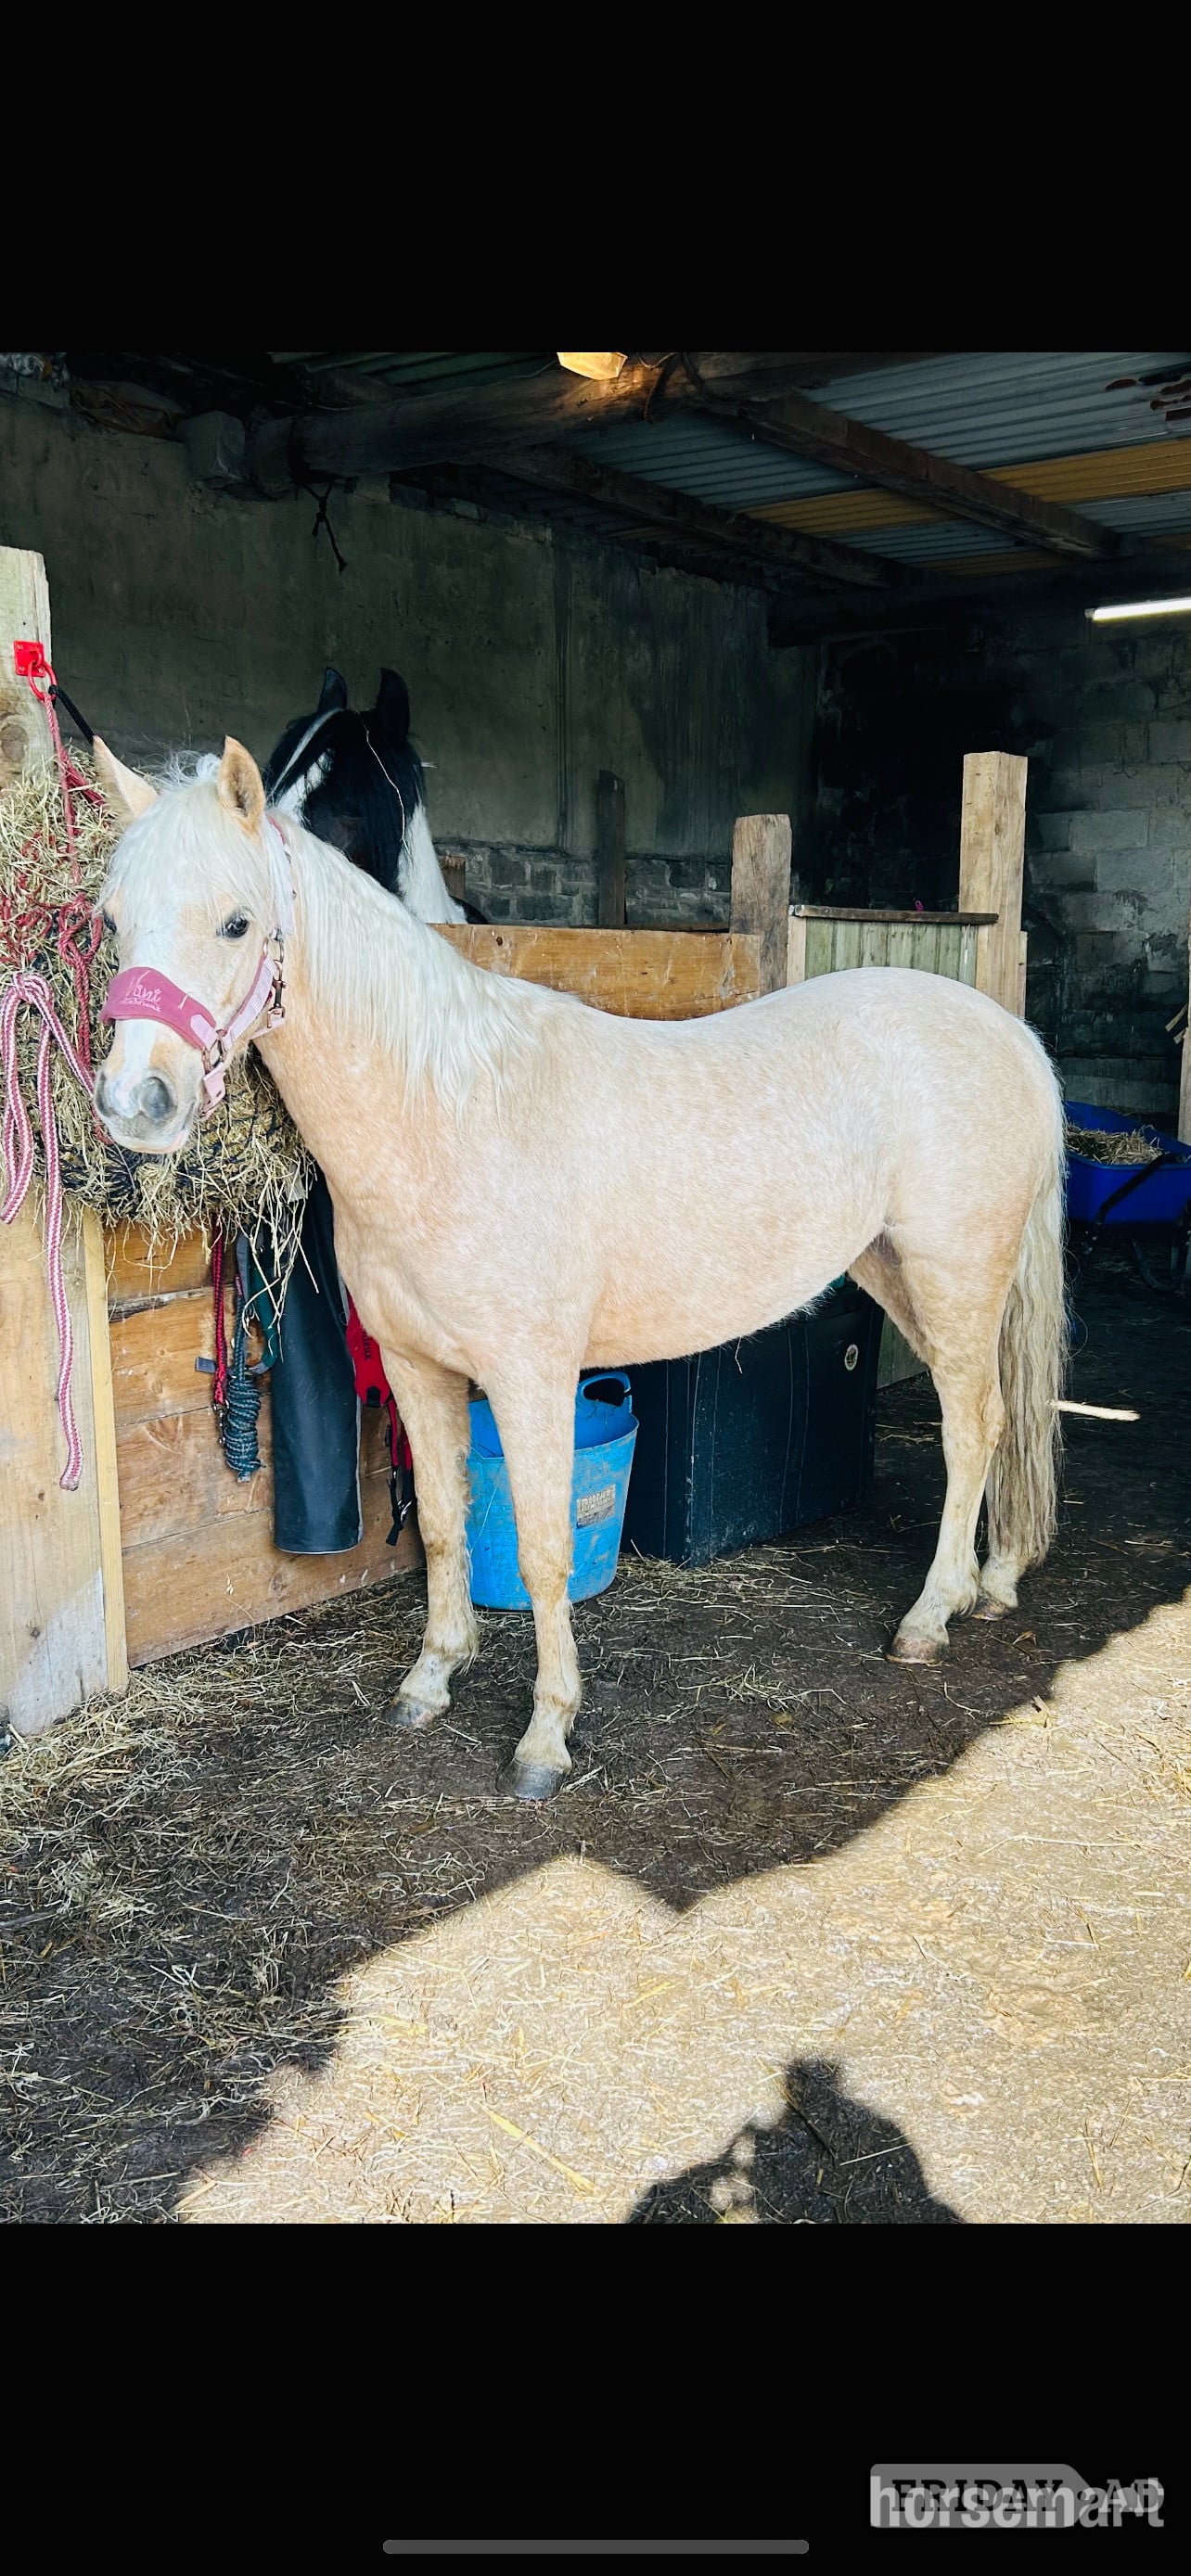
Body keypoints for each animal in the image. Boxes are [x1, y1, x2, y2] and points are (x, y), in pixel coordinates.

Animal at [90, 736, 1068, 1802]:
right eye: (111, 920)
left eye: (236, 922)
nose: (136, 1103)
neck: (449, 1115)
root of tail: (1008, 1032)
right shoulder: (415, 1368)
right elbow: (445, 1525)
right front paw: (431, 1680)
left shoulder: (531, 1378)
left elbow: (543, 1547)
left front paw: (545, 1736)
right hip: (892, 1269)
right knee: (990, 1424)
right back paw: (989, 1584)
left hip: (955, 1277)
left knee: (975, 1427)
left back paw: (930, 1617)